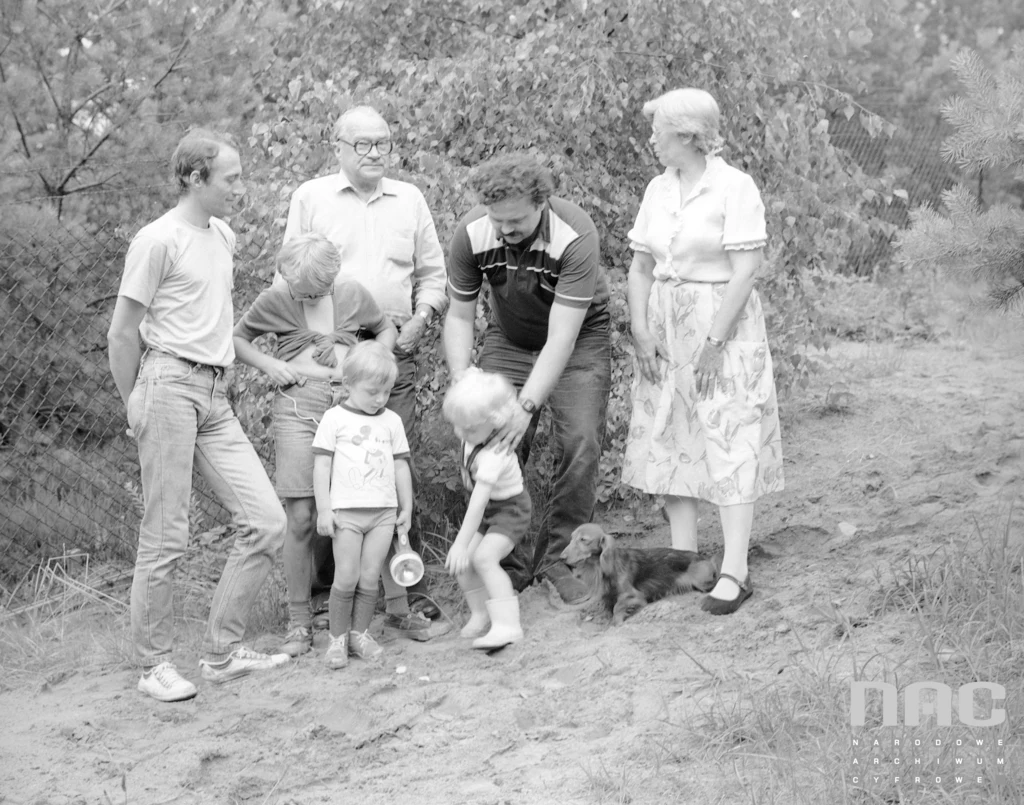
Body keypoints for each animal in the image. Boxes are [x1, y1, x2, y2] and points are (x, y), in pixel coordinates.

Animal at [561, 524, 720, 622]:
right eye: (571, 538)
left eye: (583, 540)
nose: (561, 557)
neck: (601, 567)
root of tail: (704, 558)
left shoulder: (635, 595)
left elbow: (618, 606)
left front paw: (618, 621)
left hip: (703, 581)